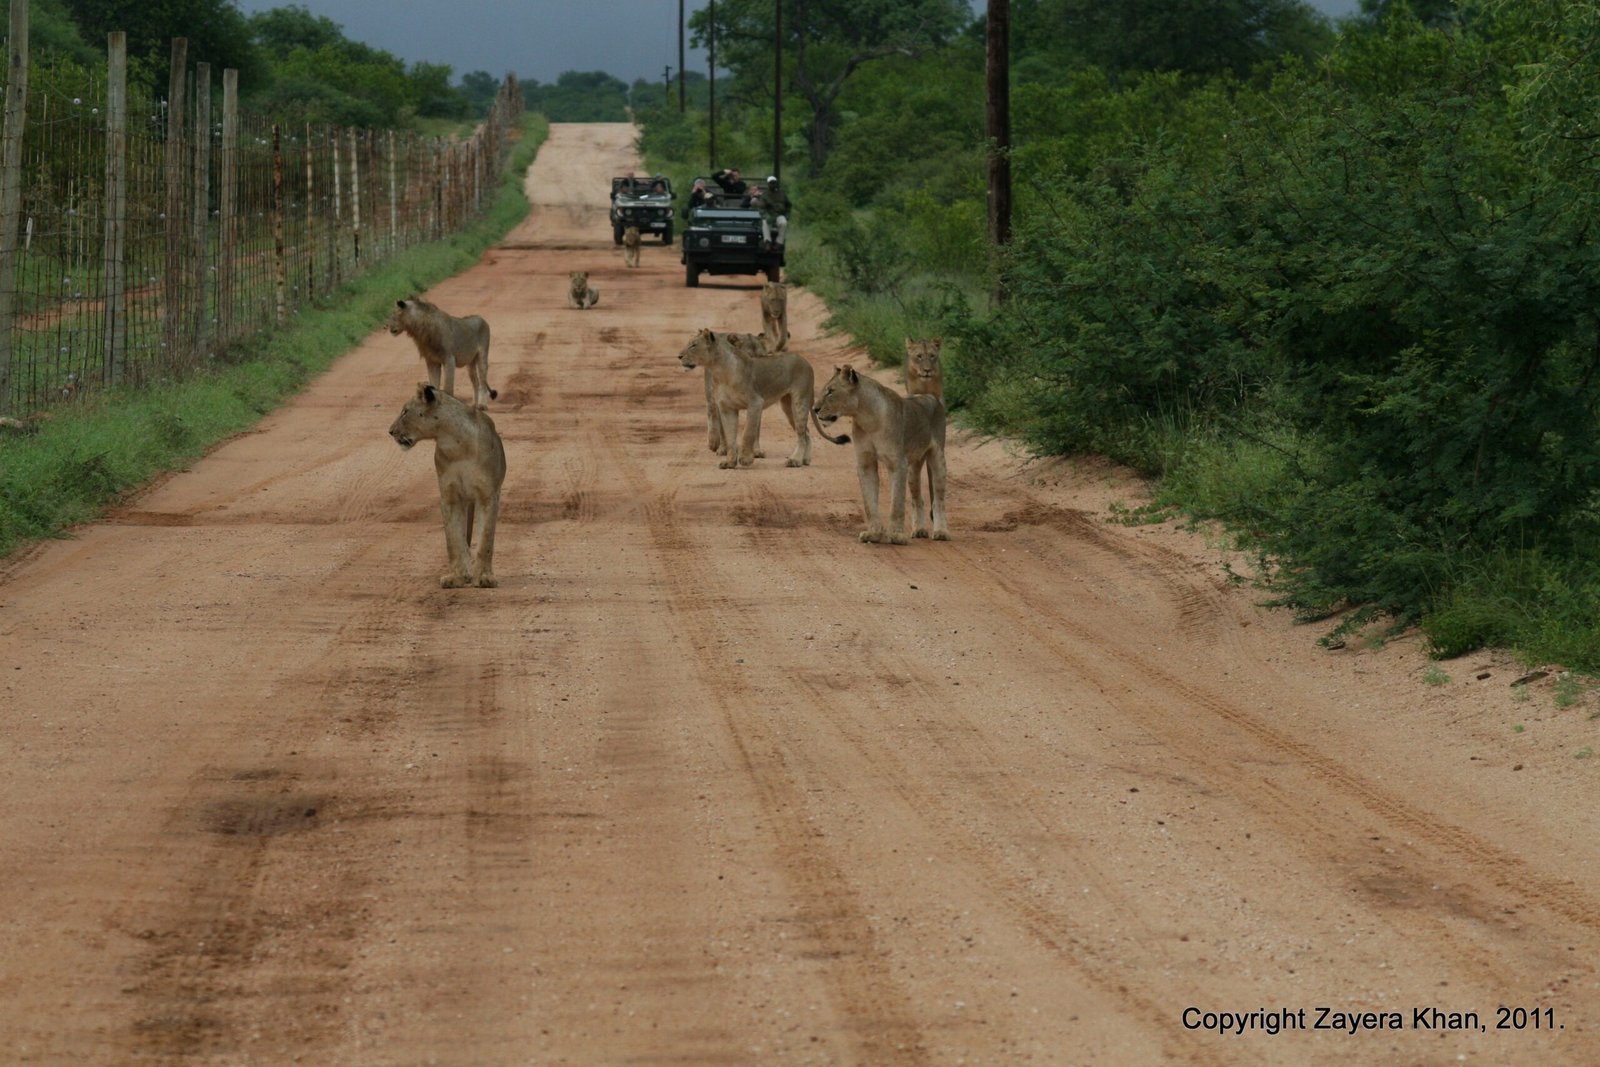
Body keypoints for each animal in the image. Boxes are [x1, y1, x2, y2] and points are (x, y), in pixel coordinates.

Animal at [388, 382, 507, 588]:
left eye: (405, 411)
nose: (391, 431)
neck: (455, 444)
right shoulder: (449, 497)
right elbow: (453, 540)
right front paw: (457, 576)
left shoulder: (488, 496)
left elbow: (486, 539)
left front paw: (484, 577)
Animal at [678, 328, 813, 469]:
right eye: (690, 344)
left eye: (694, 345)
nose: (679, 356)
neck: (720, 371)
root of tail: (805, 360)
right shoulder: (727, 408)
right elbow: (730, 436)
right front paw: (729, 462)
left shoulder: (756, 402)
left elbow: (748, 433)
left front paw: (746, 459)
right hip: (788, 406)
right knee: (806, 433)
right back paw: (804, 460)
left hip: (799, 401)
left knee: (801, 434)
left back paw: (795, 460)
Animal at [812, 365, 950, 543]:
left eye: (830, 391)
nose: (815, 409)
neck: (866, 418)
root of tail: (930, 397)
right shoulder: (866, 462)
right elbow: (869, 503)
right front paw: (874, 533)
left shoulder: (897, 463)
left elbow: (896, 503)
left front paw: (896, 535)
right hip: (913, 468)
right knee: (917, 499)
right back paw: (919, 530)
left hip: (937, 457)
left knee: (939, 500)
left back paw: (941, 532)